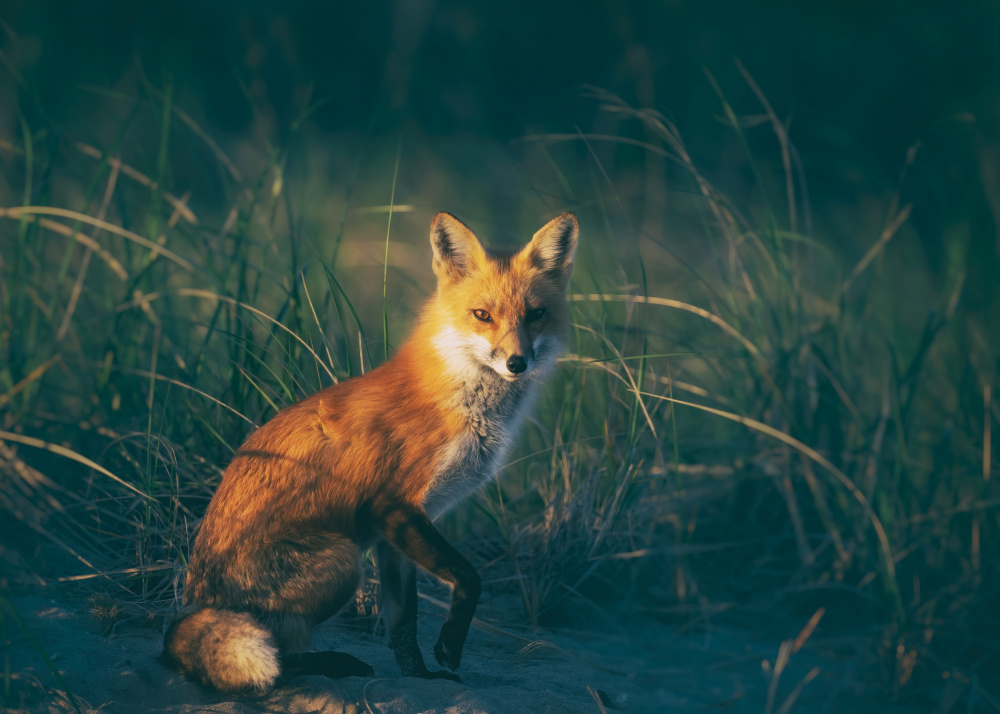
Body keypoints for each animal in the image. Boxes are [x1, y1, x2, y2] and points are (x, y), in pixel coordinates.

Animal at [162, 211, 579, 691]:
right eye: (482, 315)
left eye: (536, 315)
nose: (517, 363)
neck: (460, 401)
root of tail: (192, 606)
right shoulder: (394, 506)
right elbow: (469, 577)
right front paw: (450, 646)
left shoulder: (397, 530)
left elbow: (404, 620)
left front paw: (421, 676)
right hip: (343, 562)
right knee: (281, 655)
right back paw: (329, 663)